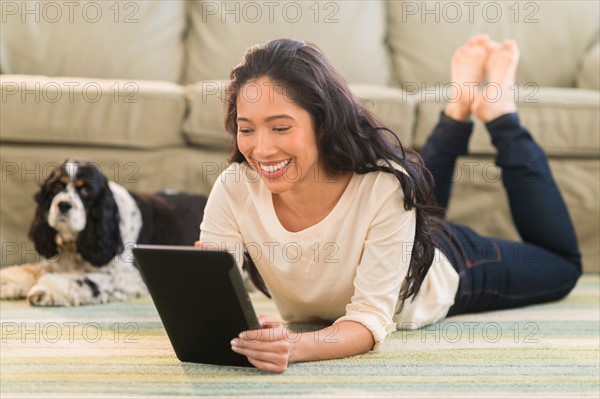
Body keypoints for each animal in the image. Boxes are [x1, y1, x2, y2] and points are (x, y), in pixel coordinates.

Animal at [0, 159, 206, 306]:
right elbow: (32, 269)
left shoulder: (128, 277)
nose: (63, 204)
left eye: (85, 190)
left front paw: (47, 289)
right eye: (56, 187)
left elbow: (85, 281)